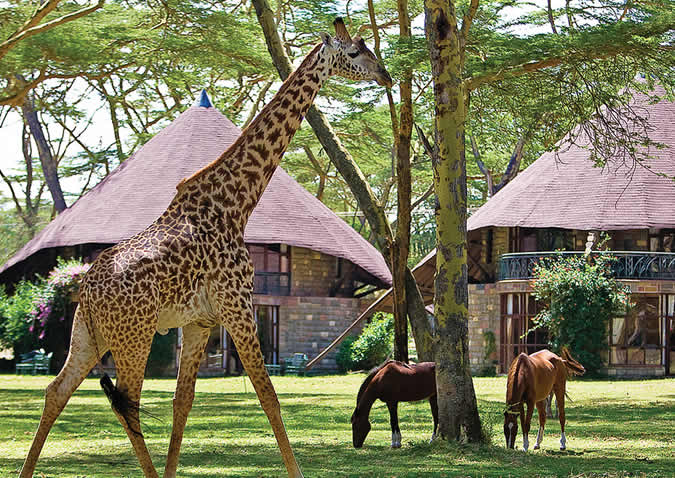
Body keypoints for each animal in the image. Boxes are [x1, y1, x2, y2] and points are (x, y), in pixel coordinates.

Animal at [19, 16, 390, 476]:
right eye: (355, 52)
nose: (385, 74)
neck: (236, 203)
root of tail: (85, 290)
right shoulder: (238, 304)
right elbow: (269, 397)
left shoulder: (200, 322)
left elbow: (183, 403)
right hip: (133, 335)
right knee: (127, 402)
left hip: (87, 334)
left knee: (57, 391)